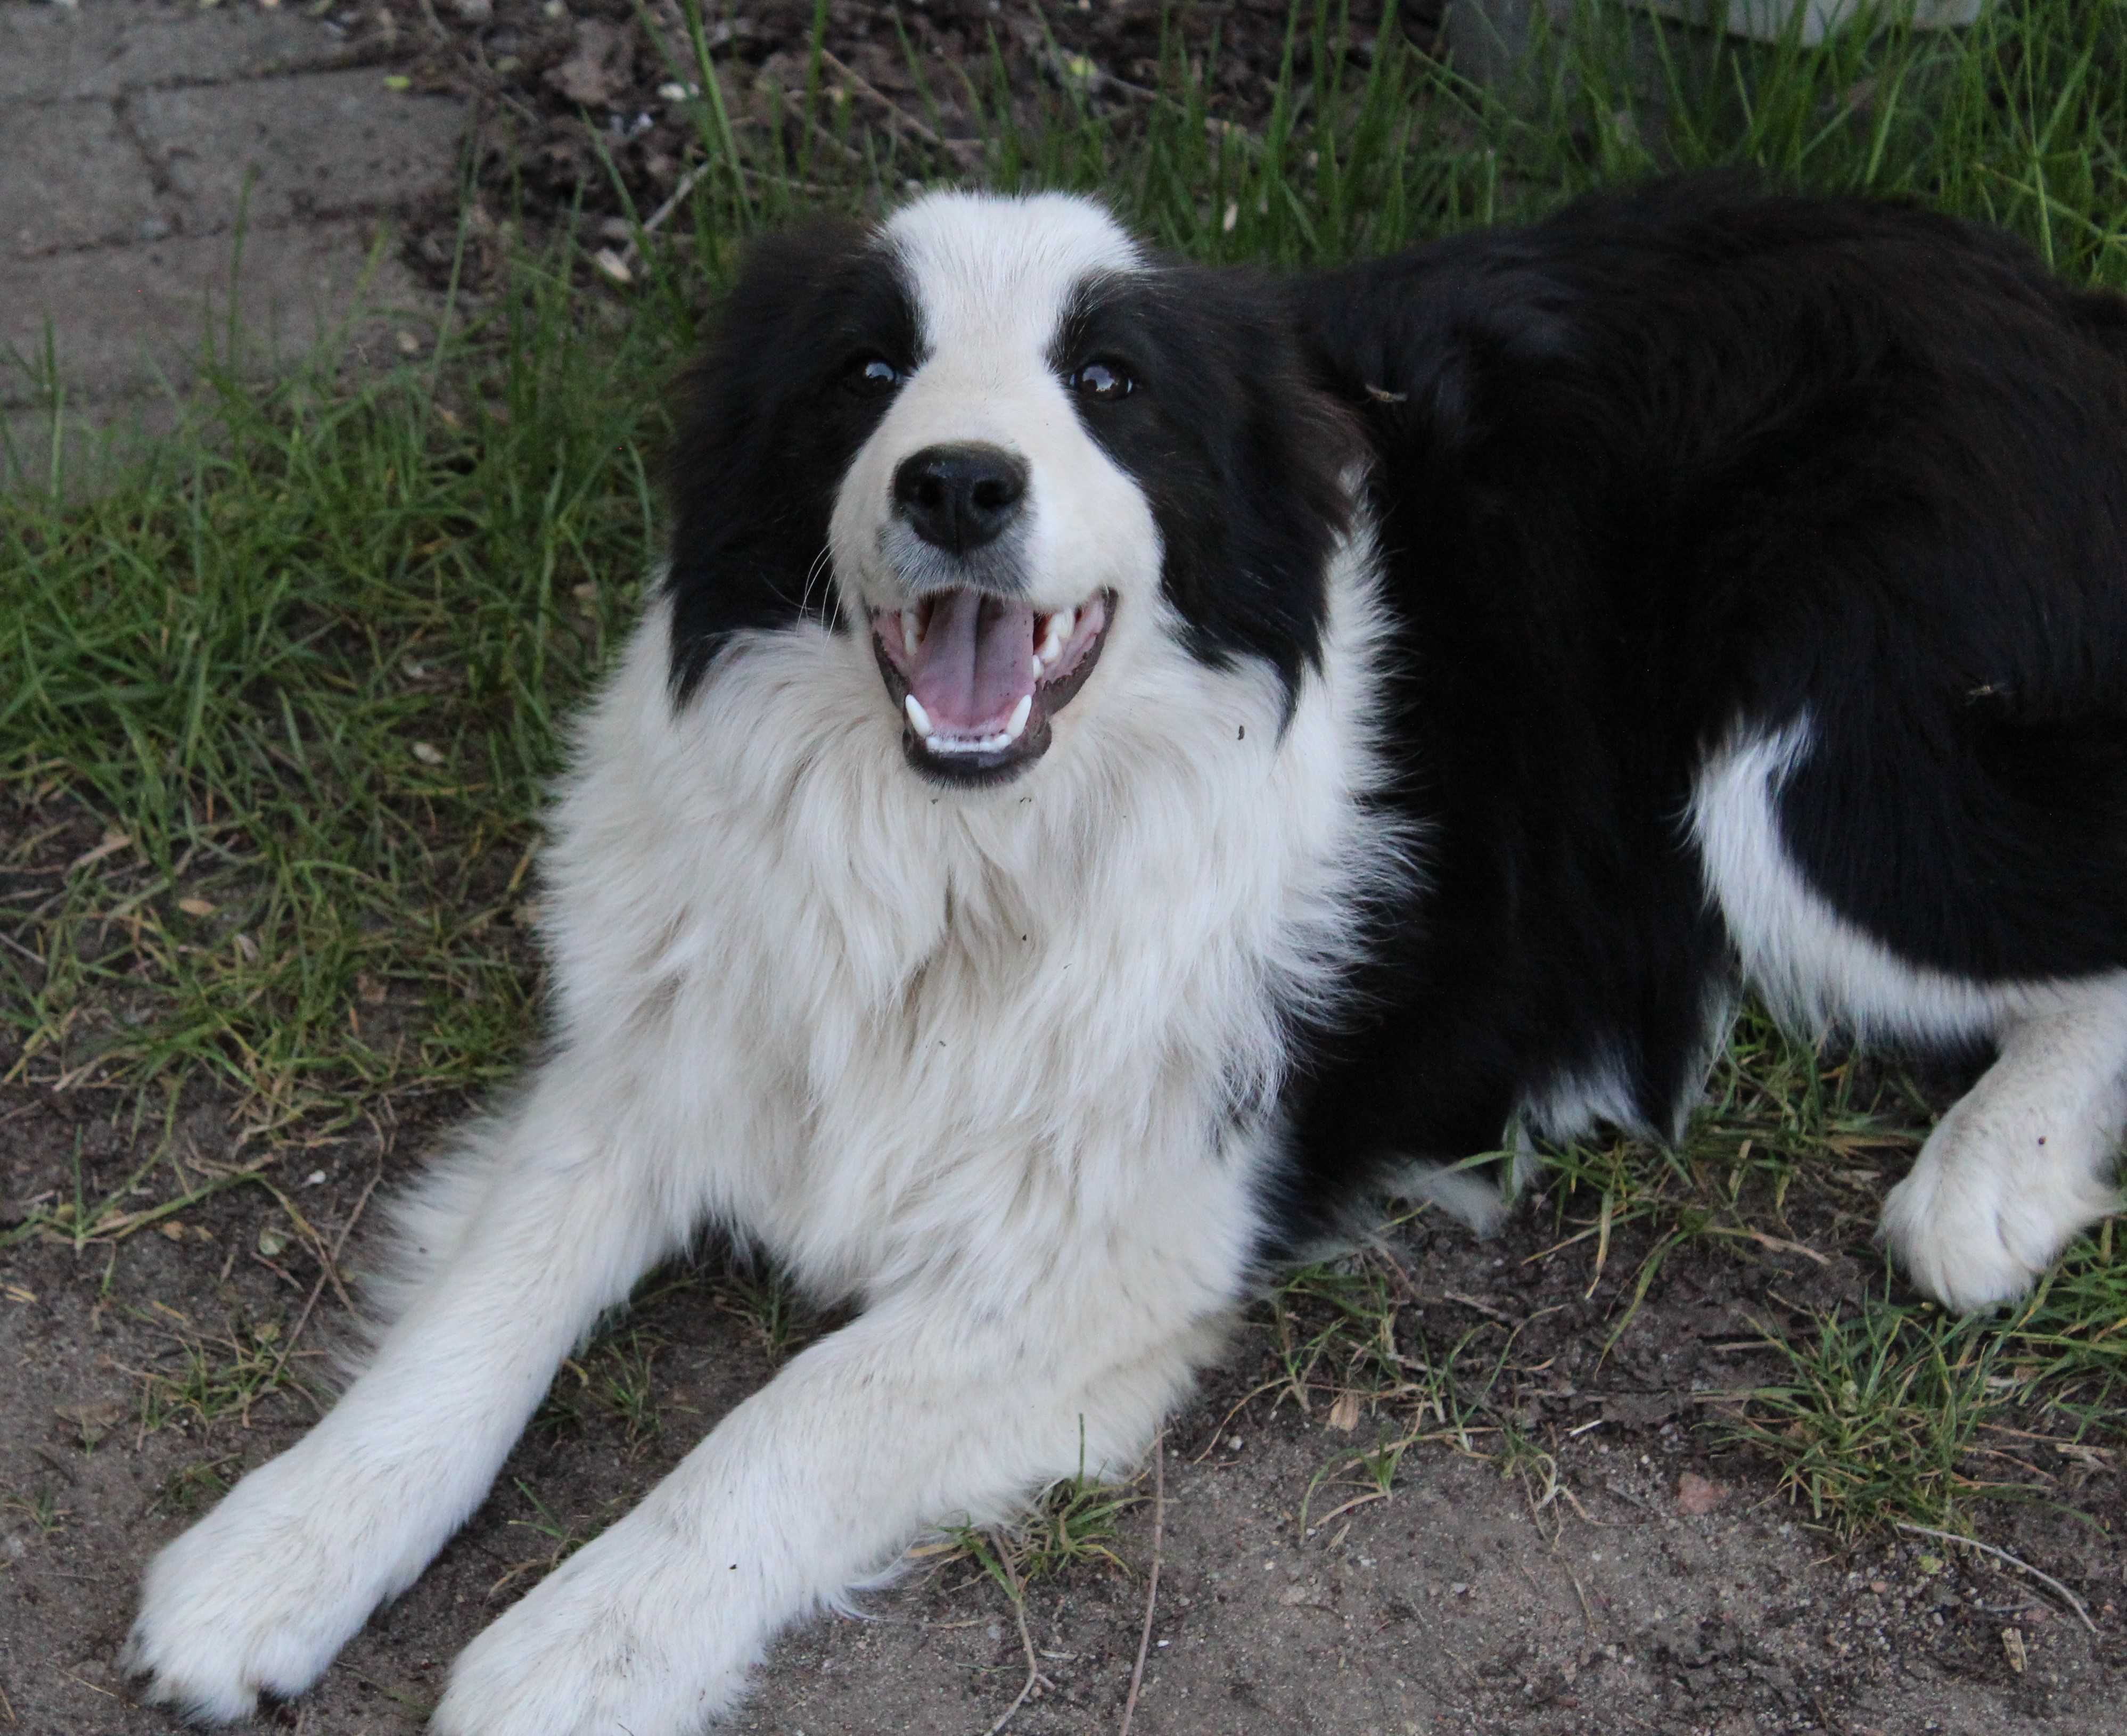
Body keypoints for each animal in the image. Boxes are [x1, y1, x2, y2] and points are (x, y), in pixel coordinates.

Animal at [124, 179, 2118, 1736]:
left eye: (1108, 384)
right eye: (866, 368)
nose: (955, 484)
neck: (959, 865)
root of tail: (2047, 300)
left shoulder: (1102, 1255)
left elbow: (778, 1421)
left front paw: (573, 1646)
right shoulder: (660, 1052)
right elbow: (478, 1321)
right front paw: (277, 1548)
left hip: (1789, 780)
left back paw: (1984, 1184)